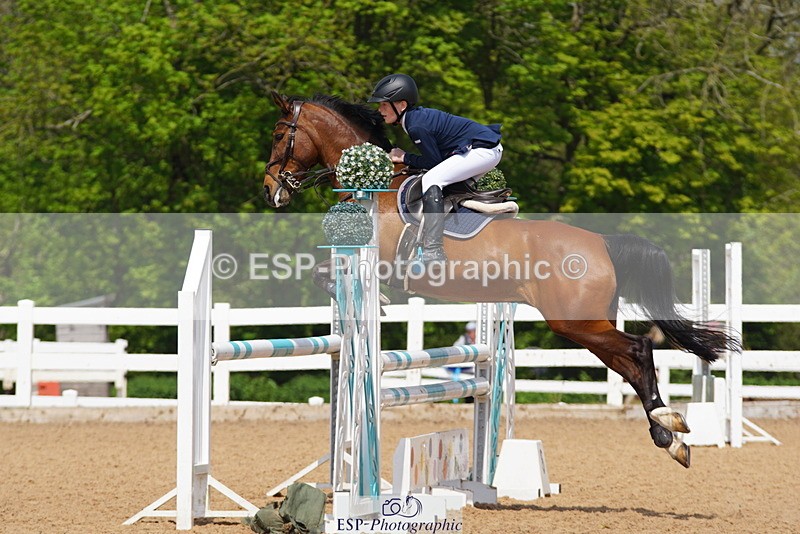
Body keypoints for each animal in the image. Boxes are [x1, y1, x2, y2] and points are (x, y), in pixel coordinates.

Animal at [262, 91, 739, 468]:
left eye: (278, 134)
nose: (271, 190)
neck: (370, 184)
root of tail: (601, 243)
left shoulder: (376, 261)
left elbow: (323, 272)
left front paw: (374, 304)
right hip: (588, 325)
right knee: (631, 364)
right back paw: (670, 434)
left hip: (575, 322)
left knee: (638, 350)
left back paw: (667, 428)